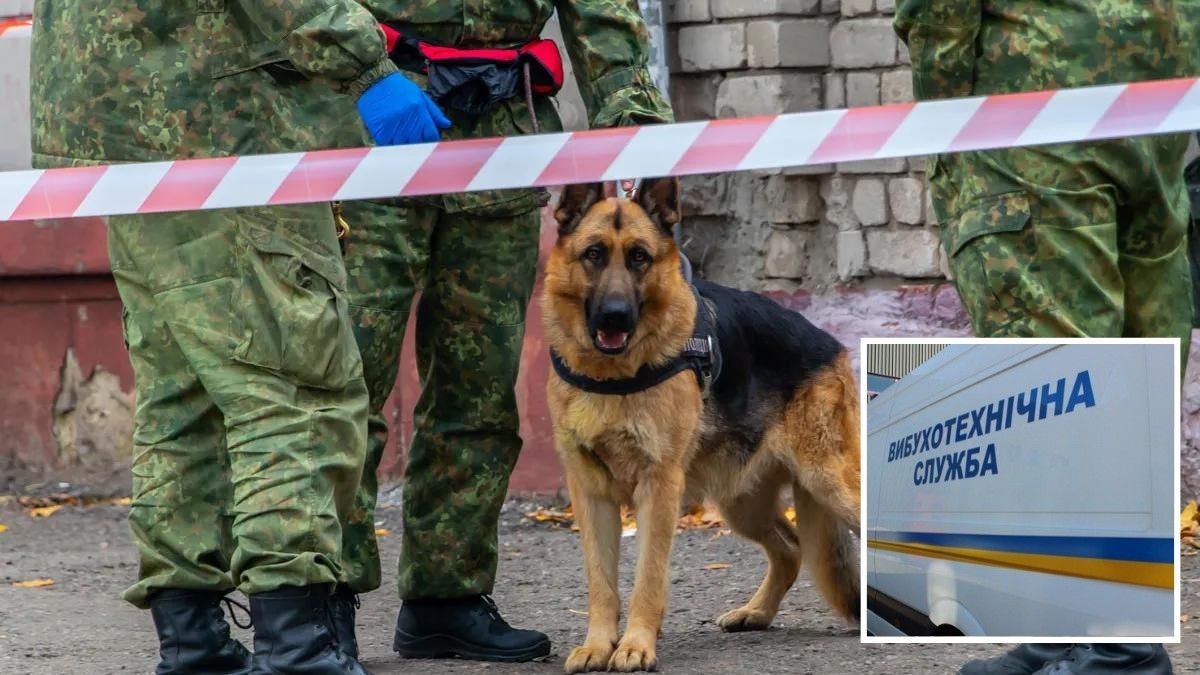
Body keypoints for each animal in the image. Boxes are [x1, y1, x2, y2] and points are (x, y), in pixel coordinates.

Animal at [544, 176, 864, 667]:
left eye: (639, 257)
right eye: (593, 254)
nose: (615, 315)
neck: (612, 376)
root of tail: (830, 342)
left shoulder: (659, 487)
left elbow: (648, 576)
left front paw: (636, 644)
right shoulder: (589, 493)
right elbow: (601, 582)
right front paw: (599, 645)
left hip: (831, 483)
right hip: (741, 503)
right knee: (790, 549)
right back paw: (756, 613)